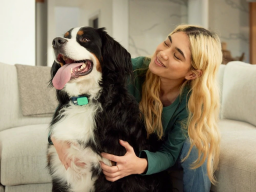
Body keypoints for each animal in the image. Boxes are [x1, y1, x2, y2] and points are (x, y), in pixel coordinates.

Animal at [46, 25, 170, 192]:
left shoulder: (112, 172)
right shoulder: (60, 171)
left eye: (85, 39)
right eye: (65, 36)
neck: (85, 100)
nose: (56, 41)